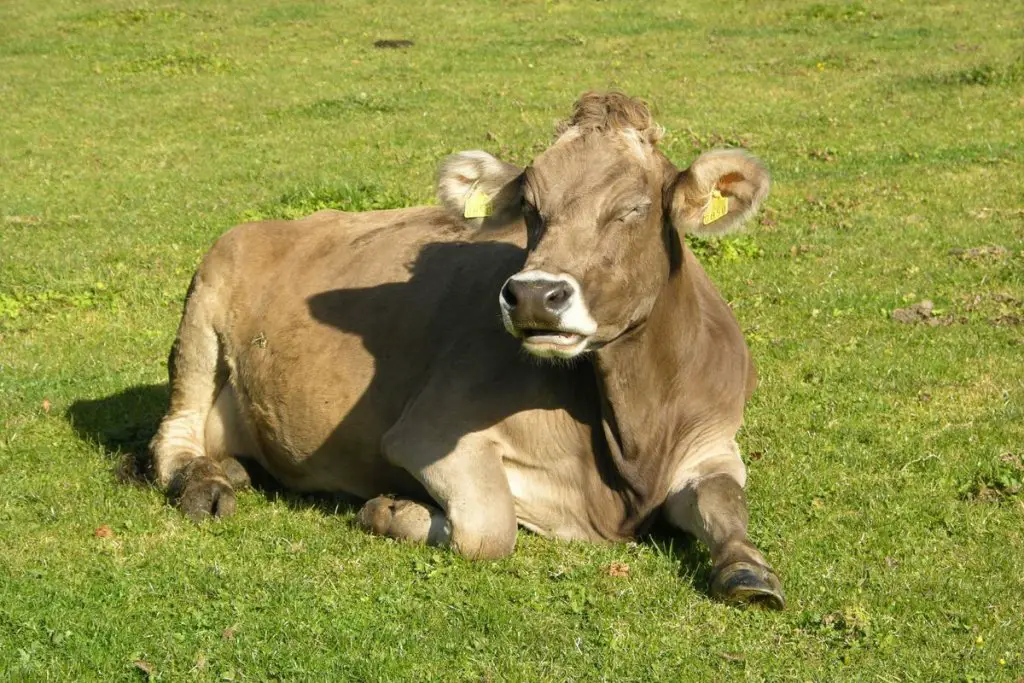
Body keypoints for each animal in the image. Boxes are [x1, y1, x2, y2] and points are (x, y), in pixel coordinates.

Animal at [148, 90, 782, 610]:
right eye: (530, 206)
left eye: (635, 207)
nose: (534, 296)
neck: (633, 441)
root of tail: (267, 225)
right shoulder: (430, 430)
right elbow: (488, 529)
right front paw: (391, 509)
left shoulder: (713, 438)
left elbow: (726, 501)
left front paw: (749, 570)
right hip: (202, 311)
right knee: (171, 439)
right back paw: (206, 484)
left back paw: (232, 468)